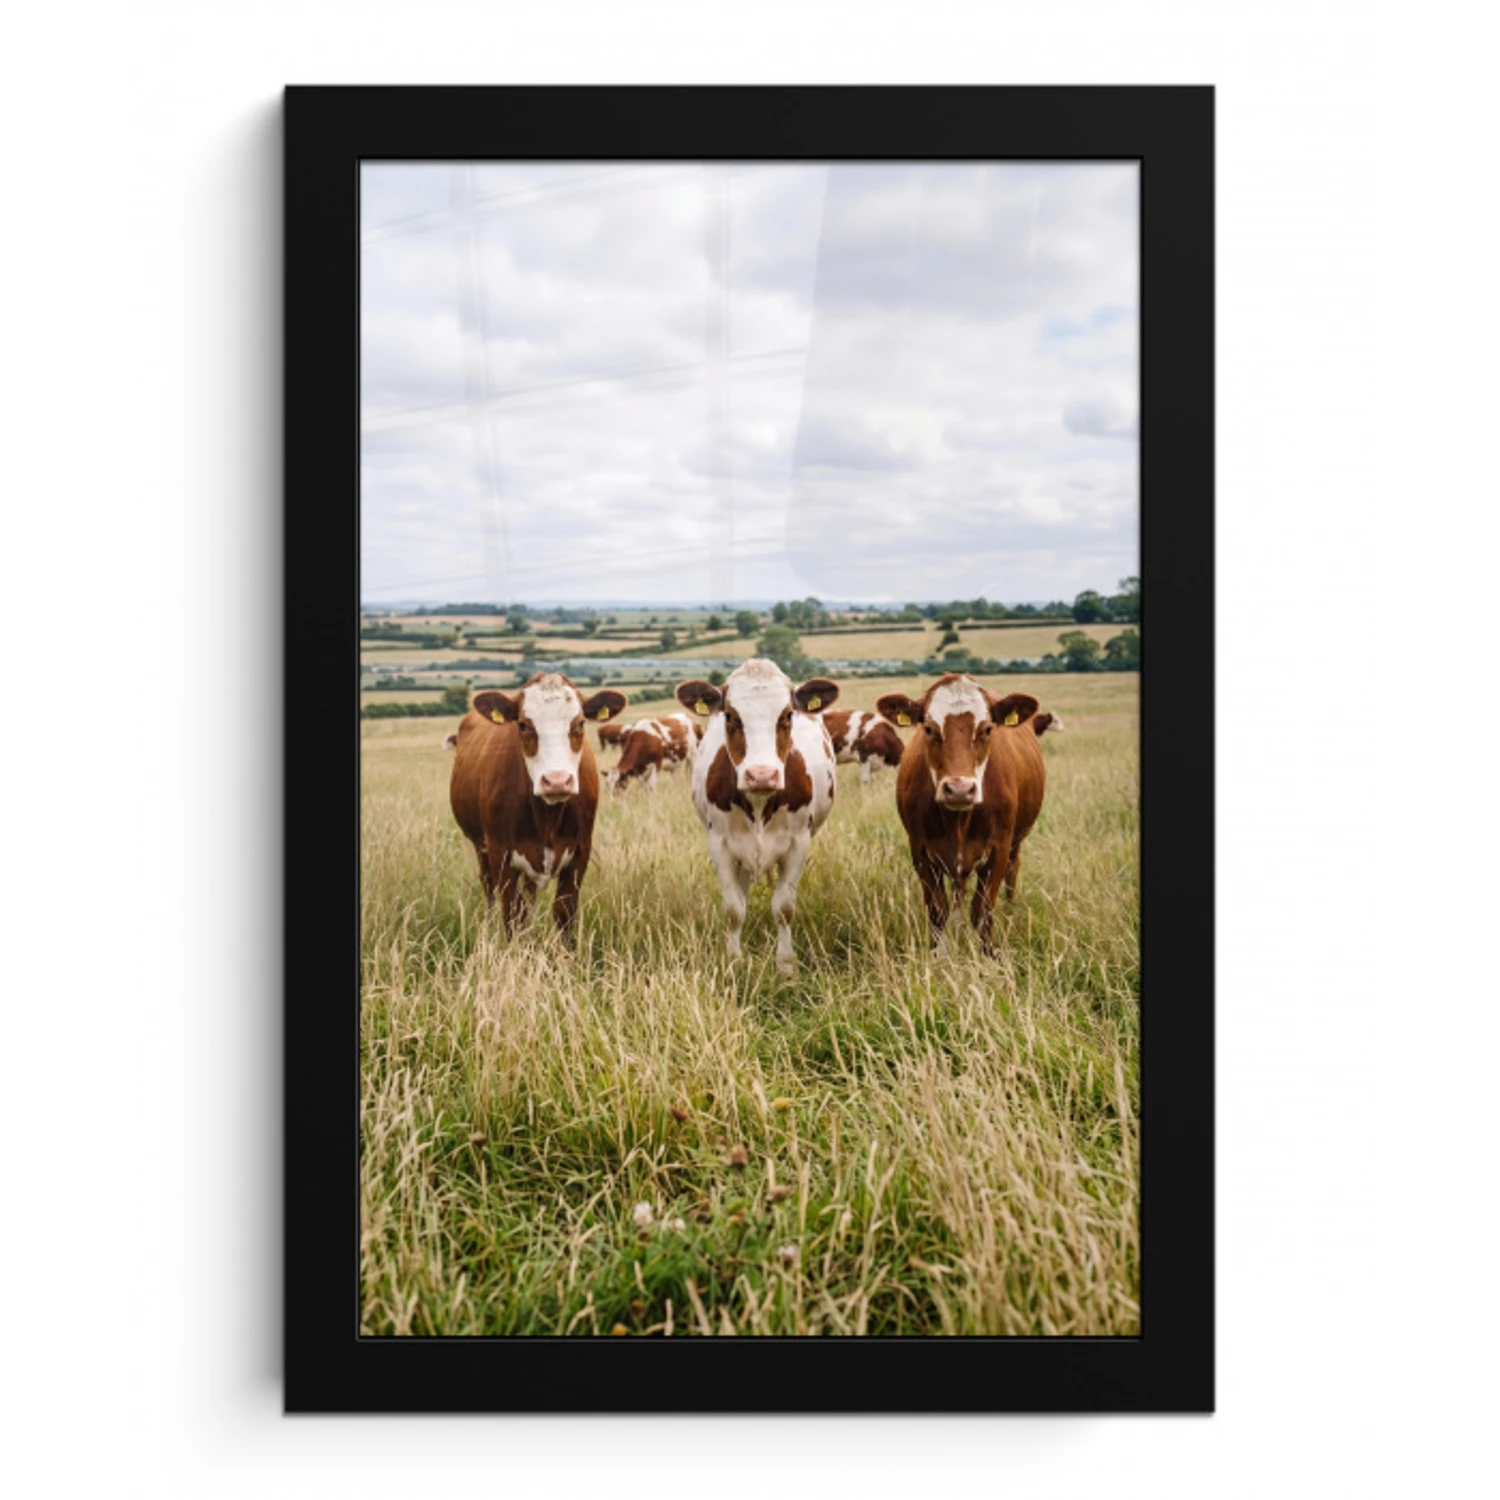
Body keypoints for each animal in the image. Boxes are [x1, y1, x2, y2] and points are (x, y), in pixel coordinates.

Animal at [448, 672, 627, 941]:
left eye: (580, 723)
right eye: (523, 725)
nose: (556, 781)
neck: (547, 817)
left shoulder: (580, 851)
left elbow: (564, 912)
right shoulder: (500, 853)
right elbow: (512, 914)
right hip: (481, 847)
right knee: (489, 886)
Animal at [676, 659, 840, 975]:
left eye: (787, 715)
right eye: (730, 716)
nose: (761, 775)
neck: (759, 801)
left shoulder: (798, 843)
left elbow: (784, 907)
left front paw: (786, 965)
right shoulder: (720, 843)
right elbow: (733, 909)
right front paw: (733, 960)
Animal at [876, 674, 1046, 958]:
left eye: (987, 729)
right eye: (929, 729)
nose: (959, 789)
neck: (957, 822)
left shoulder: (999, 849)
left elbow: (983, 910)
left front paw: (989, 956)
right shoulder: (920, 851)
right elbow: (937, 911)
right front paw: (938, 955)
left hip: (1016, 842)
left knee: (1013, 870)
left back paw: (1011, 911)